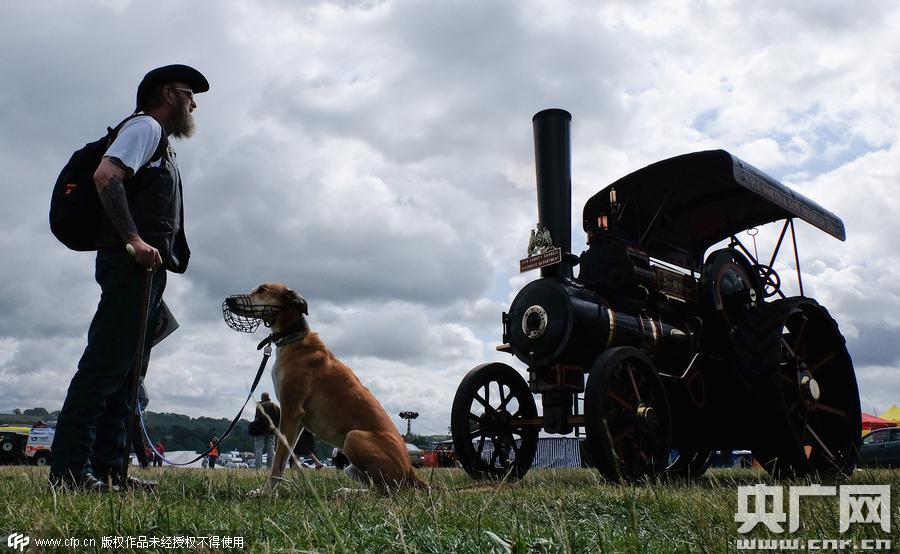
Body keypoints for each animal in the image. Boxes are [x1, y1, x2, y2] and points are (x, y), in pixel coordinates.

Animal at [223, 280, 424, 492]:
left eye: (262, 290)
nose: (229, 300)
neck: (295, 339)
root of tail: (411, 470)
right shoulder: (297, 420)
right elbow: (287, 457)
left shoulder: (291, 410)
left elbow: (278, 462)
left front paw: (266, 492)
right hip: (351, 467)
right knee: (374, 489)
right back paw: (347, 491)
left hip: (354, 438)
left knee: (387, 492)